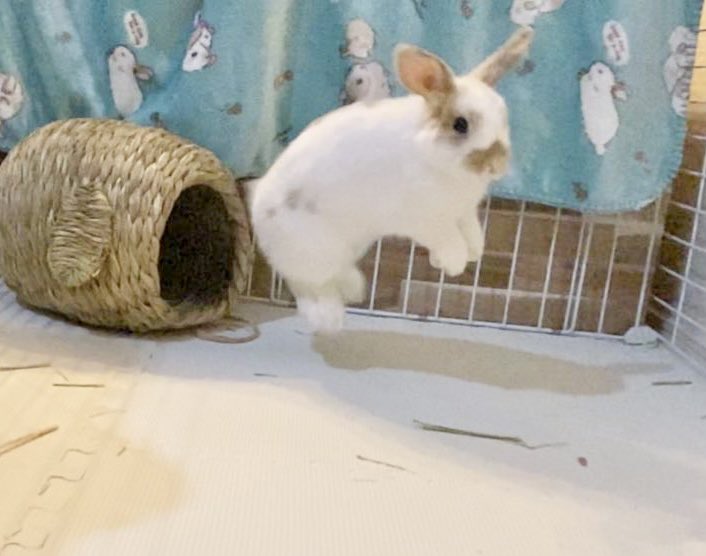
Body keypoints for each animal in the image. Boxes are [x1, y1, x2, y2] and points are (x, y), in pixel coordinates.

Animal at [251, 27, 534, 334]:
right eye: (460, 125)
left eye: (504, 117)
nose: (496, 166)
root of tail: (257, 212)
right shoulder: (427, 221)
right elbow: (449, 240)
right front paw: (455, 262)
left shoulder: (463, 212)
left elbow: (472, 232)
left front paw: (473, 253)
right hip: (314, 252)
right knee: (306, 284)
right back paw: (329, 318)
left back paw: (354, 289)